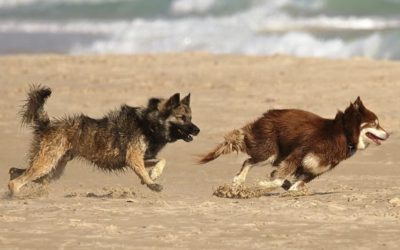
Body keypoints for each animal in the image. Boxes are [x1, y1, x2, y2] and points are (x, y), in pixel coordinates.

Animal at [7, 85, 198, 195]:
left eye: (190, 117)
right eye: (182, 118)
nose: (198, 130)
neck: (148, 124)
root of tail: (47, 125)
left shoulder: (141, 158)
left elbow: (161, 160)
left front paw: (154, 175)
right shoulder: (133, 158)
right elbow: (144, 171)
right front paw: (151, 183)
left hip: (53, 169)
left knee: (15, 172)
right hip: (47, 164)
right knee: (15, 182)